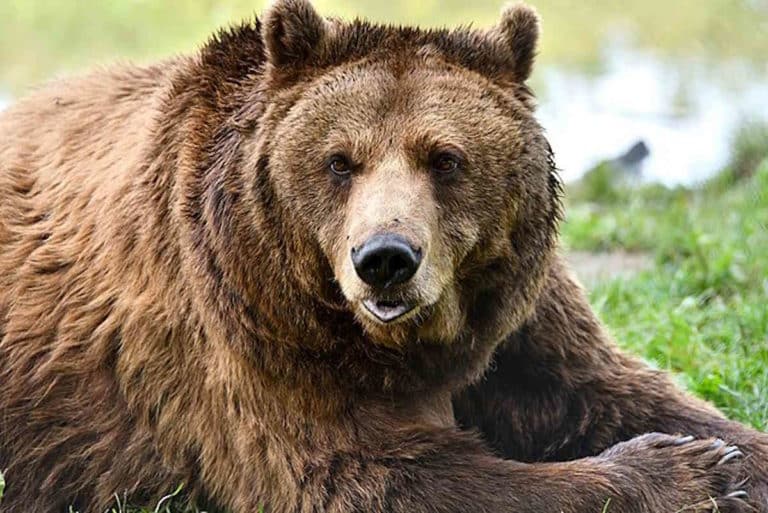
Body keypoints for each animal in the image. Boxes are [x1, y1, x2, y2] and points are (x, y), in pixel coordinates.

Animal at [0, 0, 766, 511]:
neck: (409, 345)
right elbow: (377, 474)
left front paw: (730, 452)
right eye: (340, 160)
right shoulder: (254, 337)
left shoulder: (514, 313)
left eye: (446, 158)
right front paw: (692, 473)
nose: (387, 258)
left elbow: (609, 388)